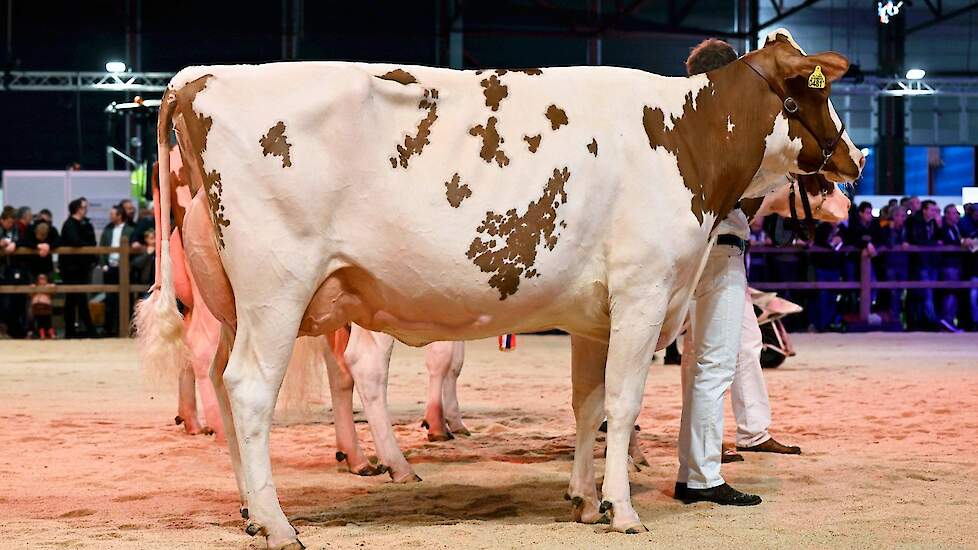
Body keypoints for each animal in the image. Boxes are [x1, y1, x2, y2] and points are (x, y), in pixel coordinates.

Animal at [139, 29, 860, 548]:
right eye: (818, 91)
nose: (855, 160)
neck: (683, 135)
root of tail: (199, 78)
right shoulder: (644, 291)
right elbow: (623, 404)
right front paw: (623, 509)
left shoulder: (594, 315)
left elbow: (587, 406)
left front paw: (583, 499)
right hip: (276, 289)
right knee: (250, 389)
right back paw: (280, 523)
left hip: (230, 298)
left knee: (221, 382)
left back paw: (251, 509)